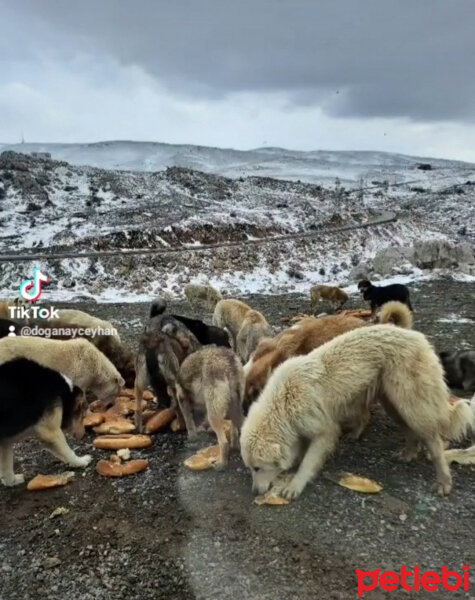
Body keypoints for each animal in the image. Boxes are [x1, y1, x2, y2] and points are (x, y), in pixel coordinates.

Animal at [0, 358, 91, 486]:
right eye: (83, 416)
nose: (84, 435)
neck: (64, 392)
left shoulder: (5, 441)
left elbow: (6, 465)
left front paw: (11, 481)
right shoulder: (51, 432)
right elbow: (67, 451)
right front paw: (80, 461)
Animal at [242, 326, 472, 500]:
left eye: (257, 468)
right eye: (251, 468)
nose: (254, 492)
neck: (283, 402)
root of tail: (418, 337)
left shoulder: (324, 431)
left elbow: (308, 462)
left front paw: (295, 484)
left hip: (411, 404)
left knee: (434, 441)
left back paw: (443, 481)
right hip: (392, 403)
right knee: (410, 432)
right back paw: (407, 453)